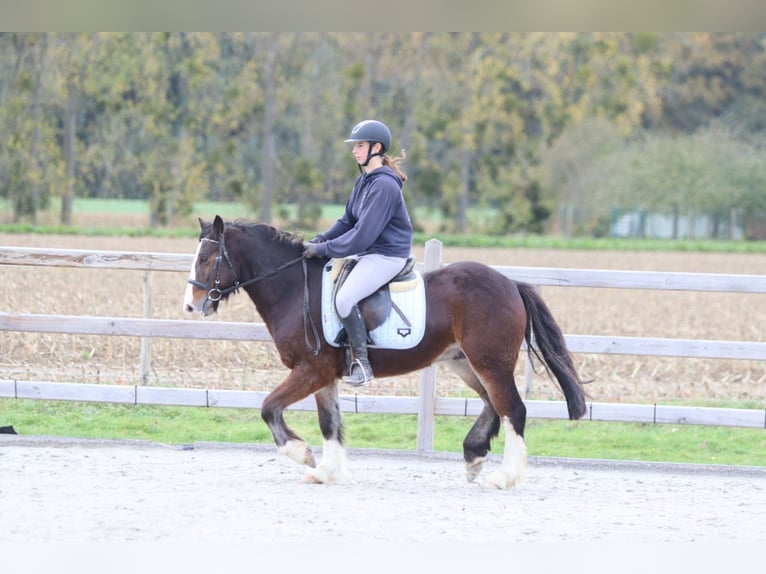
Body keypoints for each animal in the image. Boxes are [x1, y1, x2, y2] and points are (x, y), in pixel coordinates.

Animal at [184, 215, 588, 489]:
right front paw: (327, 471)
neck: (295, 288)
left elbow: (269, 407)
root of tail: (510, 284)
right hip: (464, 363)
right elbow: (329, 423)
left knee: (512, 410)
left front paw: (303, 454)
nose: (191, 306)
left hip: (491, 363)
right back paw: (474, 455)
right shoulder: (323, 377)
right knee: (493, 404)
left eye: (206, 258)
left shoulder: (311, 370)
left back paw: (505, 477)